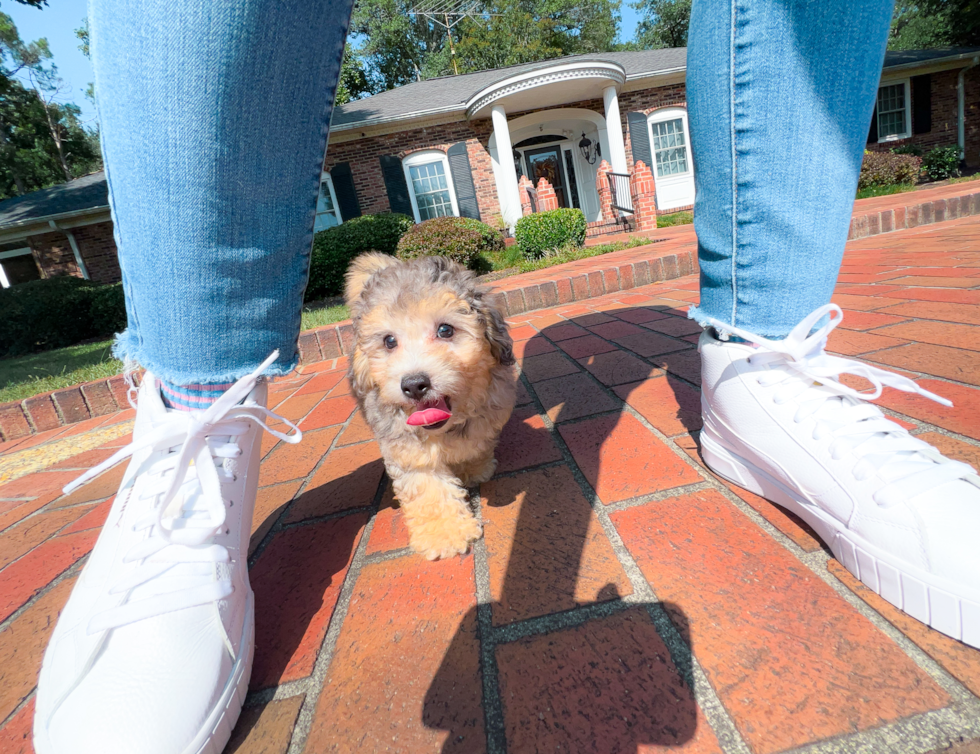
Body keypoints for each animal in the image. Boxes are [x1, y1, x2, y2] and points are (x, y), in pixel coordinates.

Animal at [344, 253, 516, 560]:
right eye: (389, 341)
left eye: (445, 329)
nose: (414, 385)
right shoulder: (406, 446)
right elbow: (428, 485)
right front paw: (445, 534)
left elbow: (477, 442)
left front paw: (474, 468)